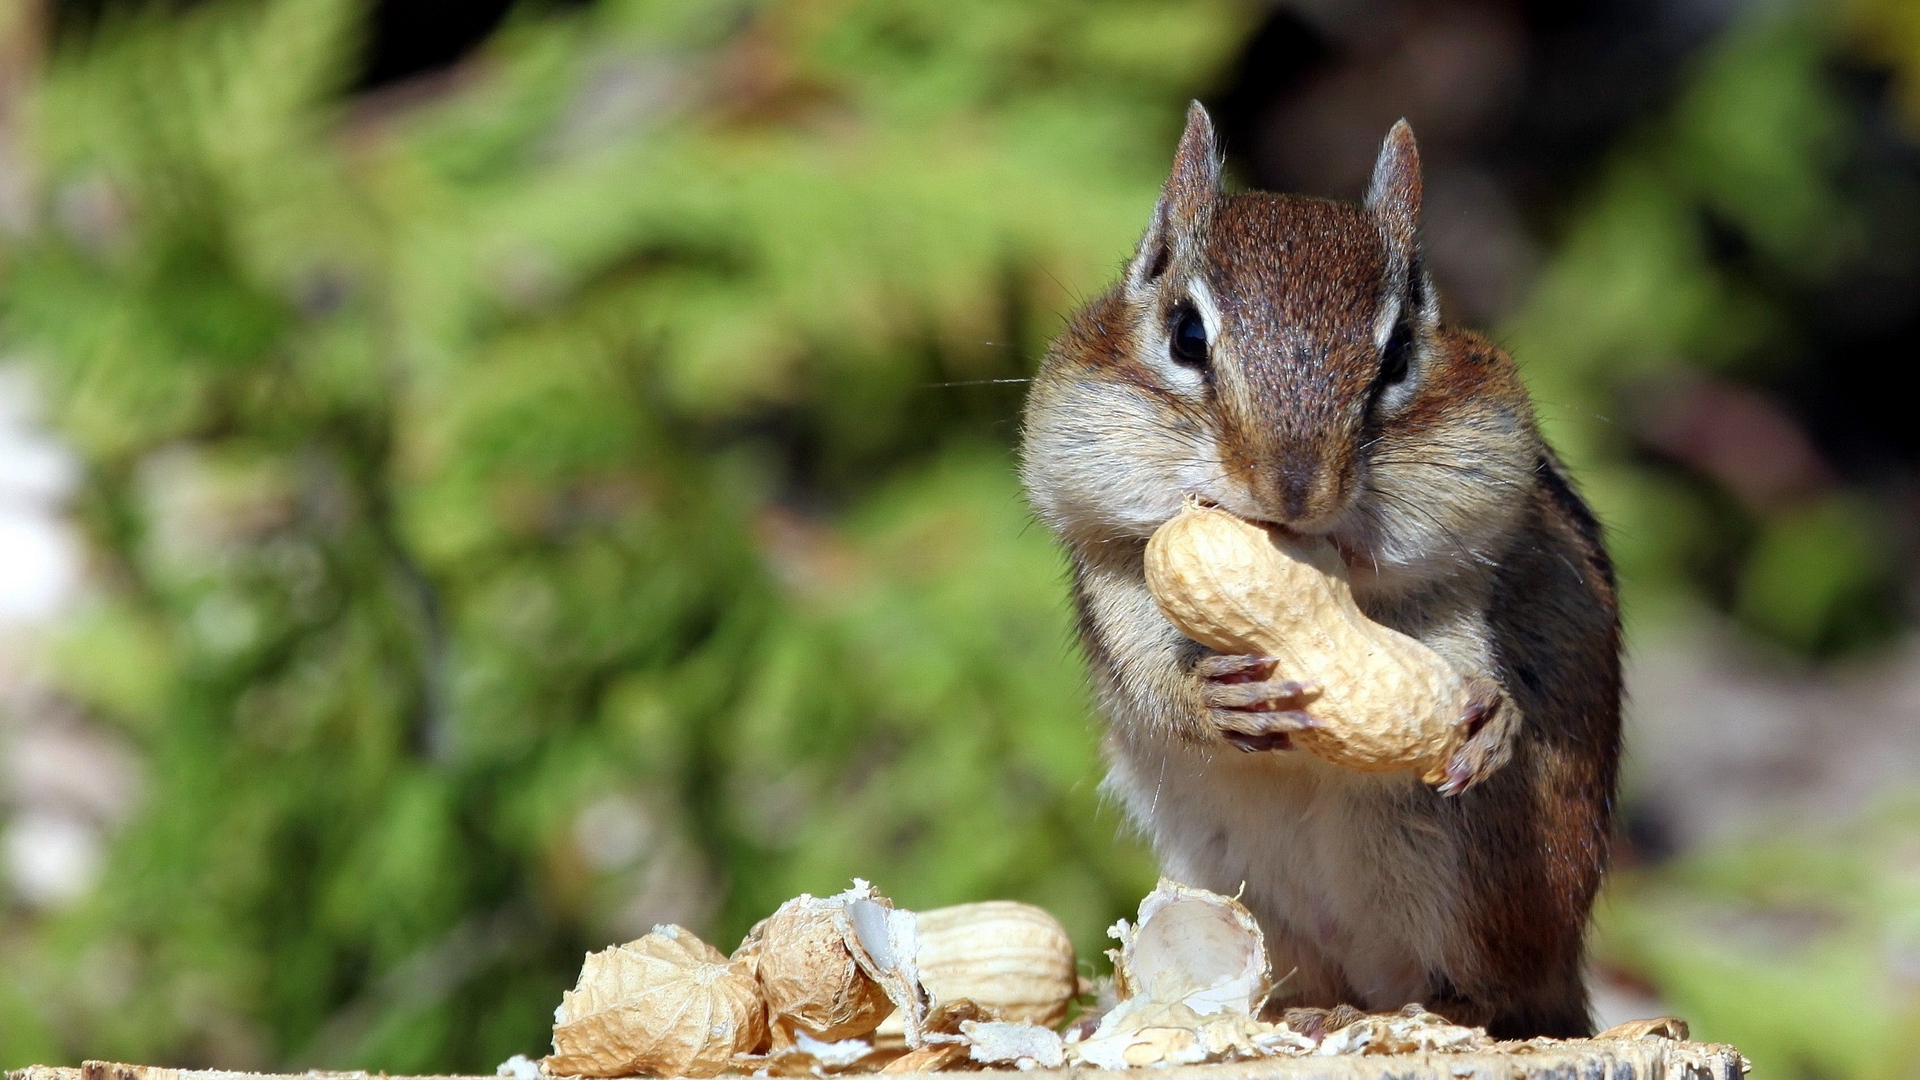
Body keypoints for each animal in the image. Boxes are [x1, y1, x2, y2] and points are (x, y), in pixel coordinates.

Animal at [1019, 103, 1621, 1039]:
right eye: (1186, 335)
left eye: (1400, 354)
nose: (1293, 490)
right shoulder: (1114, 573)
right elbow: (1148, 677)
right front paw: (1210, 700)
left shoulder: (1460, 571)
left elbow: (1464, 652)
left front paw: (1490, 717)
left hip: (1476, 872)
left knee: (1497, 994)